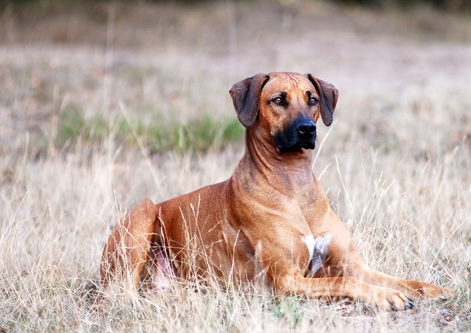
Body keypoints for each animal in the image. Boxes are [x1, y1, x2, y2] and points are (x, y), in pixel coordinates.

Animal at [100, 71, 458, 310]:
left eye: (312, 99)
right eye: (278, 100)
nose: (307, 129)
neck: (294, 184)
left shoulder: (352, 263)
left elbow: (396, 278)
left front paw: (434, 289)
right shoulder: (288, 280)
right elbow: (345, 281)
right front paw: (384, 296)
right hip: (144, 212)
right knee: (121, 294)